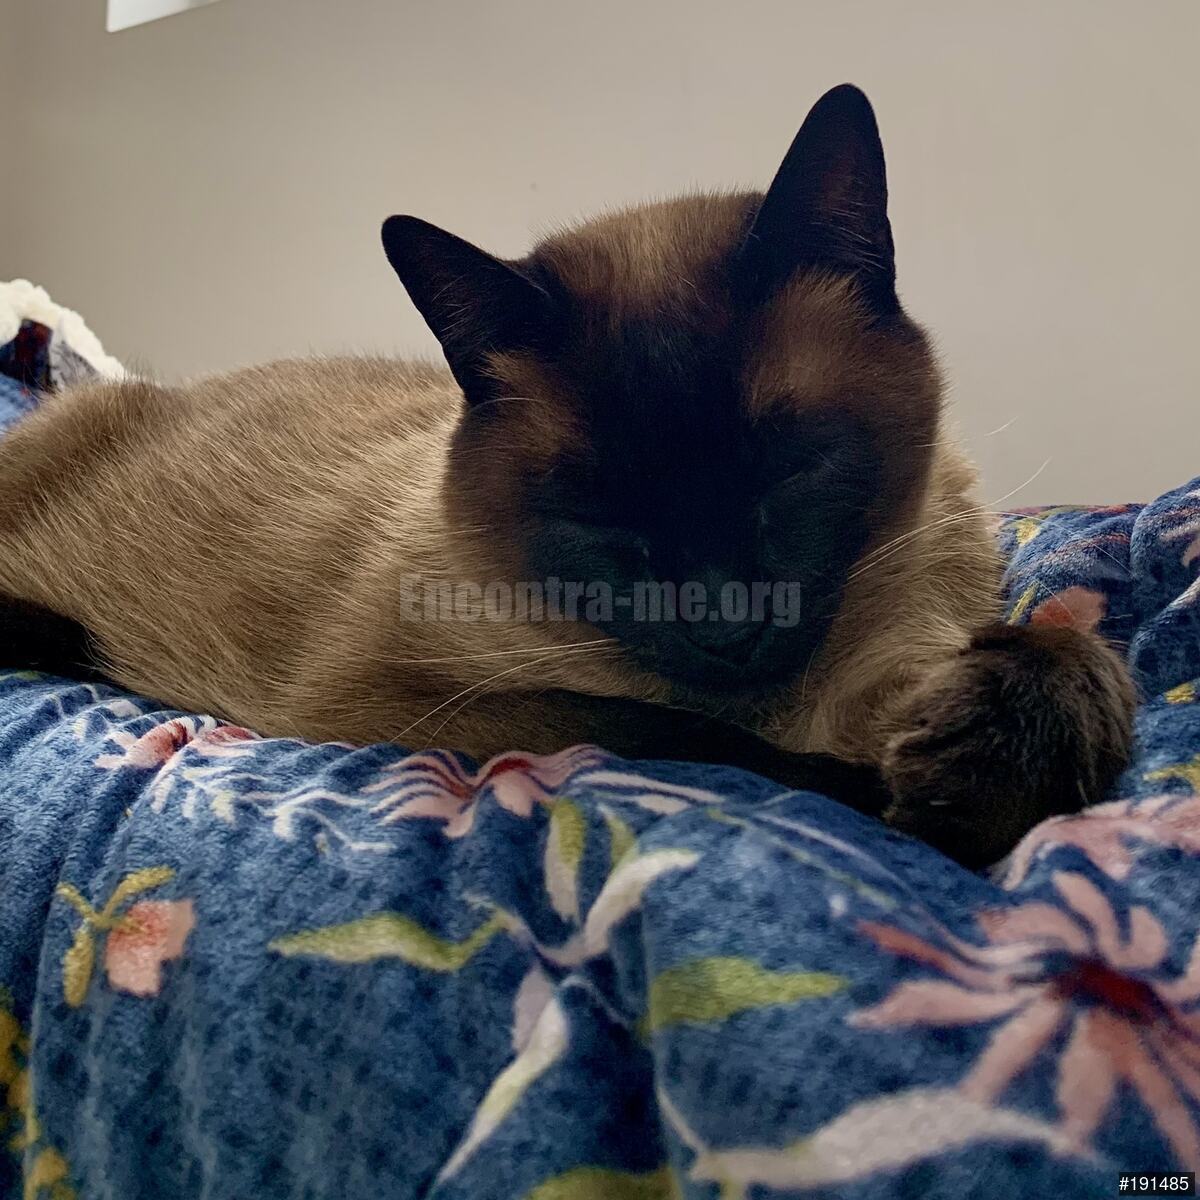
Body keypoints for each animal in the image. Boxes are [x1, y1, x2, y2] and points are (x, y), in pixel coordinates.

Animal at [0, 84, 1135, 867]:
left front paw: (988, 771)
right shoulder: (399, 707)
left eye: (788, 464)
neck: (804, 703)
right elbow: (689, 738)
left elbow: (1058, 636)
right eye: (600, 508)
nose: (726, 620)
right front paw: (899, 803)